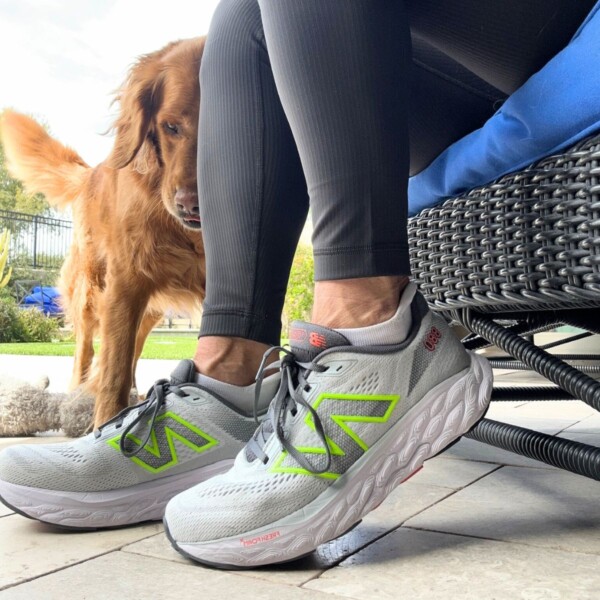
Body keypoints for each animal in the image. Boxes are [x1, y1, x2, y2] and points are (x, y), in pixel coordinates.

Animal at [0, 37, 207, 428]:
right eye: (171, 127)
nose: (191, 206)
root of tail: (91, 172)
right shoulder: (127, 280)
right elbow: (113, 371)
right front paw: (107, 420)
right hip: (92, 291)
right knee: (86, 351)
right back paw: (79, 395)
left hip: (148, 307)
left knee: (132, 348)